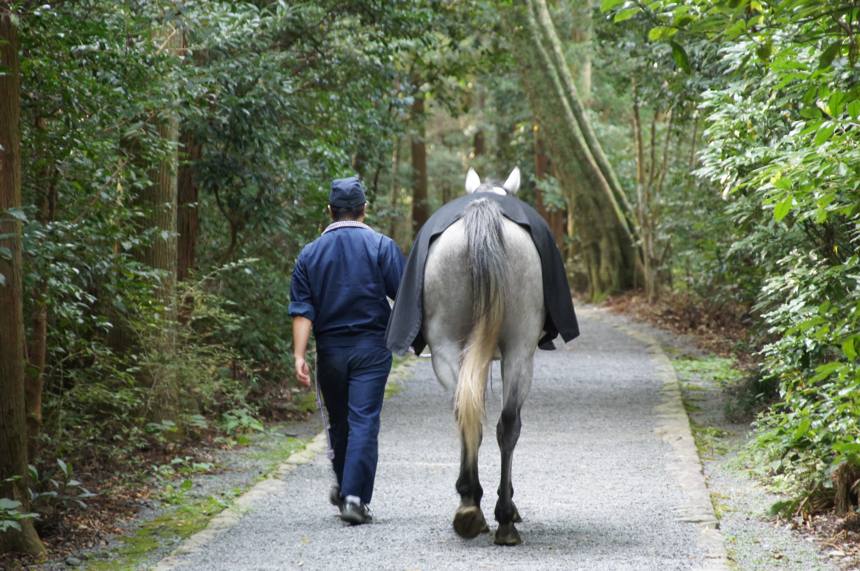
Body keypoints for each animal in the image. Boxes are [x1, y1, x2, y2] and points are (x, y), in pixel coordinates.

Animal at [422, 167, 544, 546]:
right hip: (520, 352)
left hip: (445, 347)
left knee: (466, 416)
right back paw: (504, 517)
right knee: (508, 426)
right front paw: (509, 507)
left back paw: (468, 507)